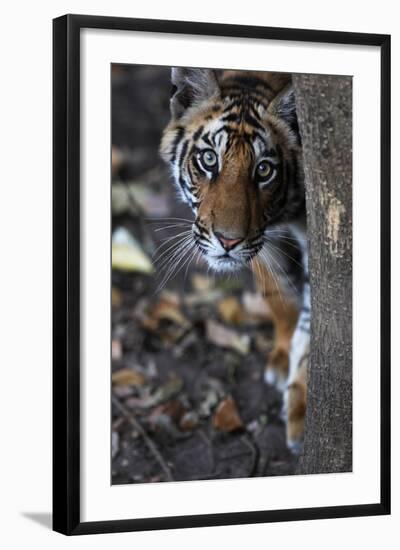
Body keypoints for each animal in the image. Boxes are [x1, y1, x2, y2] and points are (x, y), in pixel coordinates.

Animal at [159, 68, 310, 452]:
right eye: (209, 160)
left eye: (264, 170)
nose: (227, 241)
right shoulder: (264, 244)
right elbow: (280, 298)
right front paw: (282, 357)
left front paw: (301, 411)